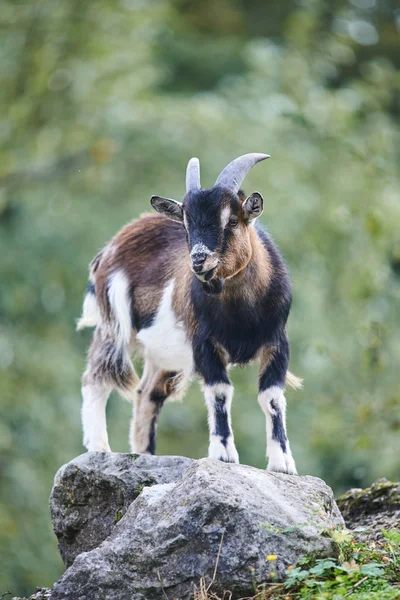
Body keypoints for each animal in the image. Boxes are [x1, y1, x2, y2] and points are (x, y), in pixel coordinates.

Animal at [77, 154, 300, 474]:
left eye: (232, 220)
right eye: (185, 224)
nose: (198, 260)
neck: (242, 314)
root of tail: (111, 246)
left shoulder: (277, 342)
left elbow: (271, 397)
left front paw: (282, 462)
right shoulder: (204, 343)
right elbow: (220, 391)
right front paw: (223, 454)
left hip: (164, 355)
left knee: (147, 394)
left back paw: (145, 455)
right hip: (114, 324)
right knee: (95, 377)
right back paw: (99, 448)